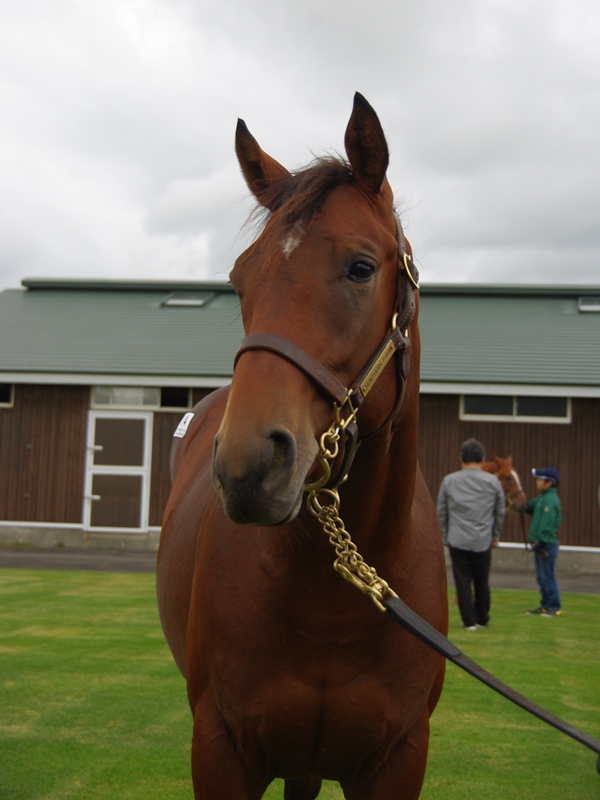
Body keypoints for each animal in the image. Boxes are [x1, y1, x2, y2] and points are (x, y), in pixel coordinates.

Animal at [157, 95, 448, 800]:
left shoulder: (398, 759)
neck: (329, 607)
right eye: (240, 279)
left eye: (361, 267)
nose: (248, 467)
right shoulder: (221, 751)